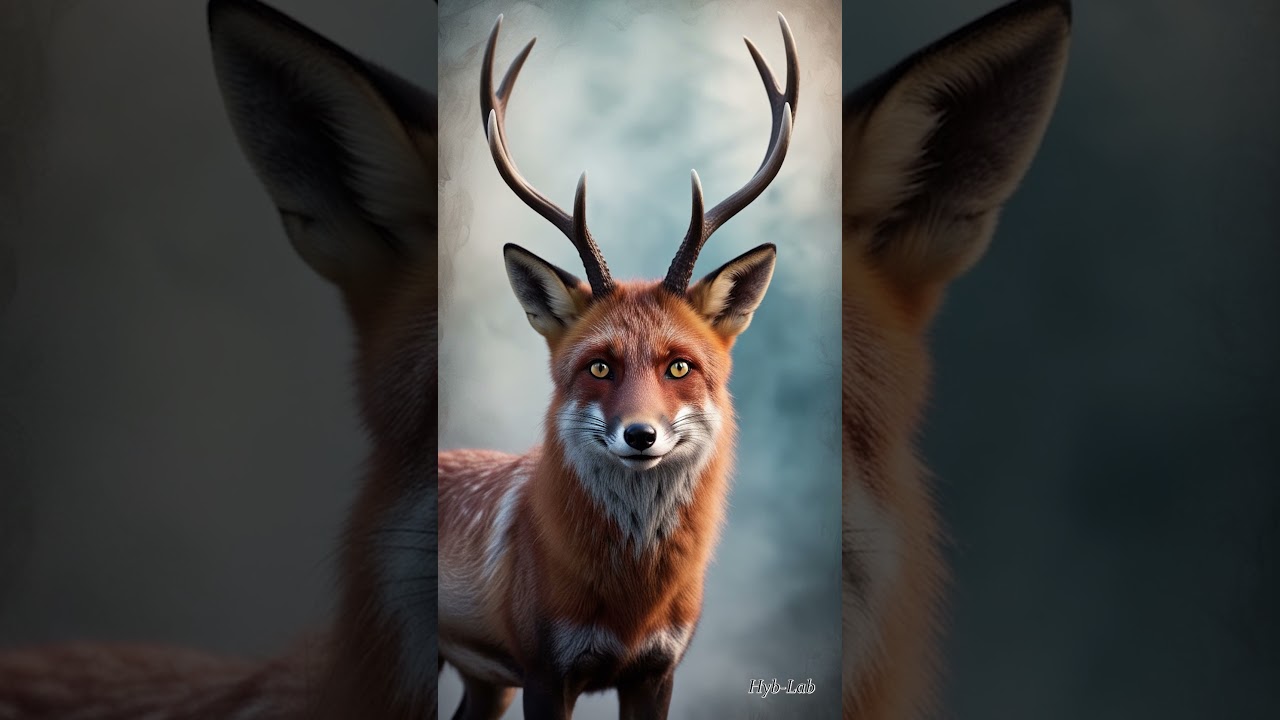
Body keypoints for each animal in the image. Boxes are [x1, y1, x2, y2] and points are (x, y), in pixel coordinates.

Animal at [435, 13, 798, 720]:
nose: (640, 434)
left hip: (487, 685)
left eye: (679, 367)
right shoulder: (547, 674)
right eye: (599, 368)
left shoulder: (654, 673)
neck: (632, 604)